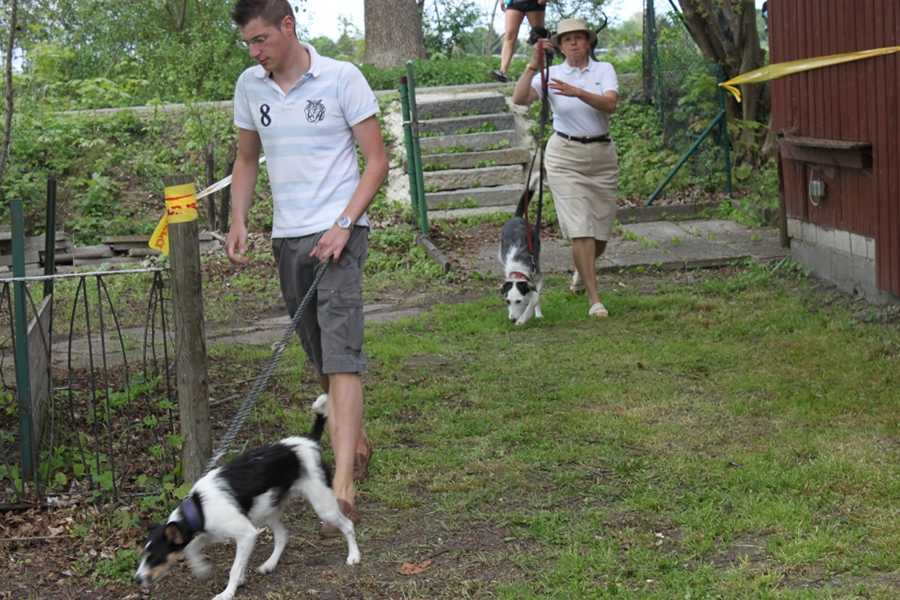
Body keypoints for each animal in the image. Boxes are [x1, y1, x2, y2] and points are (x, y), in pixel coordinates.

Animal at [134, 394, 359, 600]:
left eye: (155, 558)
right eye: (143, 555)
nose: (136, 579)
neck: (198, 507)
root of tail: (309, 441)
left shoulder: (247, 534)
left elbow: (233, 568)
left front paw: (227, 592)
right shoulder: (211, 533)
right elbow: (192, 550)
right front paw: (202, 569)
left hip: (323, 506)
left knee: (347, 525)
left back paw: (354, 556)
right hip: (267, 509)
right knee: (282, 535)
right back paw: (269, 564)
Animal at [499, 192, 543, 325]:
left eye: (518, 301)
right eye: (507, 301)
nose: (512, 319)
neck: (517, 270)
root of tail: (517, 217)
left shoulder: (537, 278)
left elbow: (535, 300)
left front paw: (524, 318)